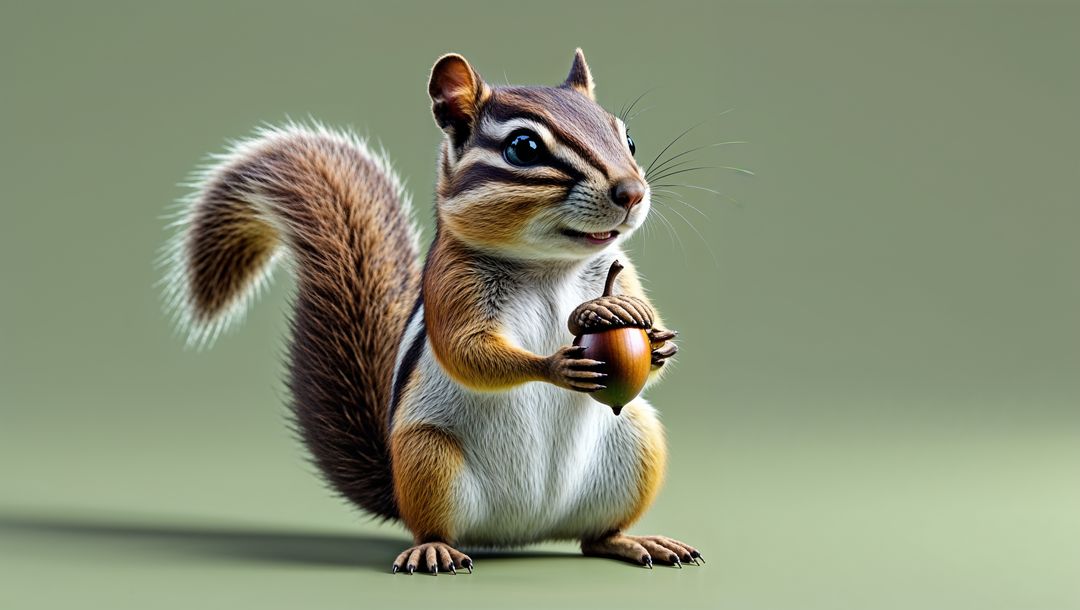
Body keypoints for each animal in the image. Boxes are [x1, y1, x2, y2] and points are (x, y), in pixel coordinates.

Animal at [164, 49, 700, 574]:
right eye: (523, 148)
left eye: (628, 138)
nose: (632, 192)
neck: (549, 267)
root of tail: (519, 535)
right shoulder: (450, 285)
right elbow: (467, 352)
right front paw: (555, 365)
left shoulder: (620, 273)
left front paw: (658, 344)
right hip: (428, 457)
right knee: (434, 527)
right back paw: (434, 551)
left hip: (637, 439)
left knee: (594, 538)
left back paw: (636, 542)